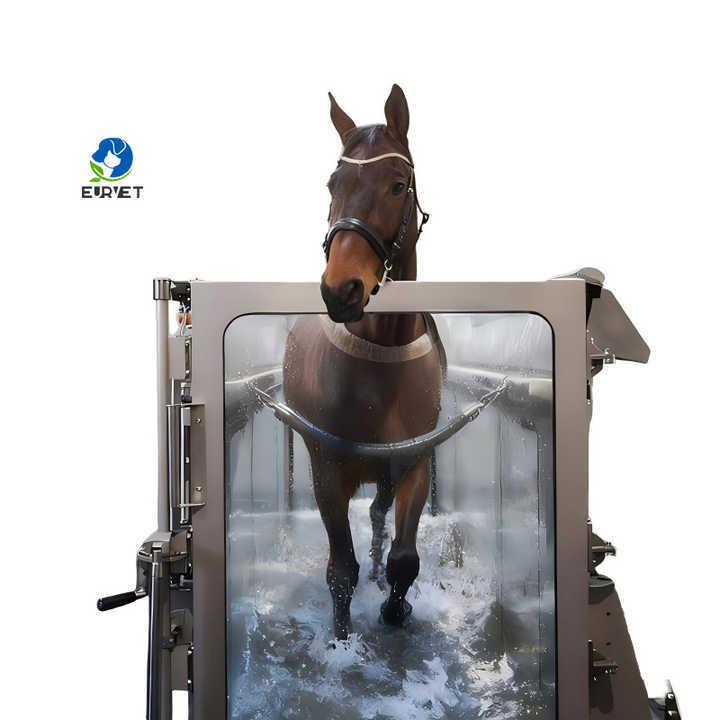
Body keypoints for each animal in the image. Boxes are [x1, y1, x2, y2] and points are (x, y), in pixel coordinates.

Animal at [283, 85, 444, 640]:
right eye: (334, 183)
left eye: (397, 185)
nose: (341, 289)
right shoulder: (327, 471)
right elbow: (340, 570)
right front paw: (341, 637)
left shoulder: (413, 462)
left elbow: (404, 559)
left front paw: (395, 609)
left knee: (377, 516)